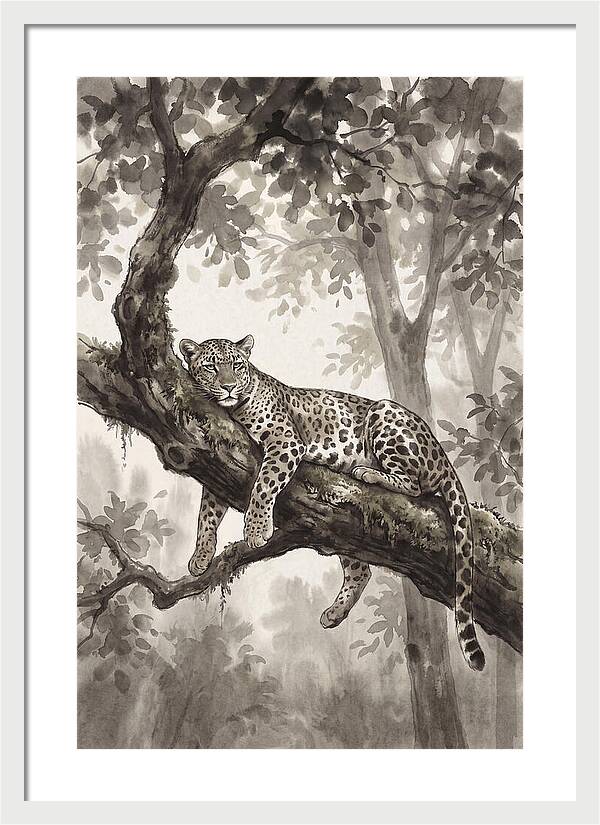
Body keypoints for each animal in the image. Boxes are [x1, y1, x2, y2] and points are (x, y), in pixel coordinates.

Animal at [180, 334, 485, 671]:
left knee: (414, 485)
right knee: (360, 571)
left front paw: (257, 530)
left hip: (384, 413)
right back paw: (334, 614)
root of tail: (442, 454)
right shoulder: (220, 458)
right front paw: (201, 556)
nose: (230, 387)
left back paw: (367, 472)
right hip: (342, 531)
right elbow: (207, 513)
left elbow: (263, 485)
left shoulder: (285, 441)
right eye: (211, 367)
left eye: (236, 365)